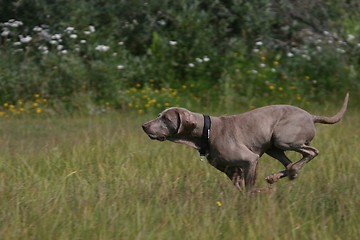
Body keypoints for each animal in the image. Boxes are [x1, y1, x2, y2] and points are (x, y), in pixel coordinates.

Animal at [141, 94, 348, 191]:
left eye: (165, 118)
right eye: (159, 115)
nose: (144, 126)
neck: (207, 131)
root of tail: (311, 116)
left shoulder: (250, 160)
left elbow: (248, 188)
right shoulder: (232, 170)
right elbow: (239, 186)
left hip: (283, 139)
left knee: (311, 152)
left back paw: (292, 172)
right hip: (274, 147)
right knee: (290, 163)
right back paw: (280, 175)